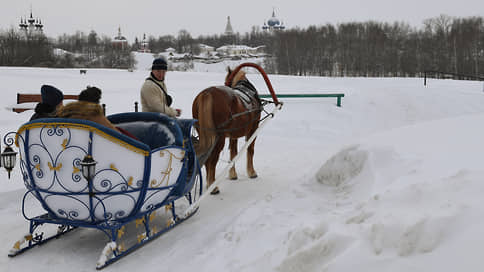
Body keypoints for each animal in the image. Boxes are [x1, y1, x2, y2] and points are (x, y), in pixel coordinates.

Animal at [192, 68, 262, 196]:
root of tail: (207, 93)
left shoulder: (233, 135)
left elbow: (233, 154)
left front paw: (233, 175)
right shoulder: (253, 129)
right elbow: (250, 150)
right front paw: (251, 172)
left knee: (207, 157)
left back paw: (210, 184)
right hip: (219, 138)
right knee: (212, 159)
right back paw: (213, 187)